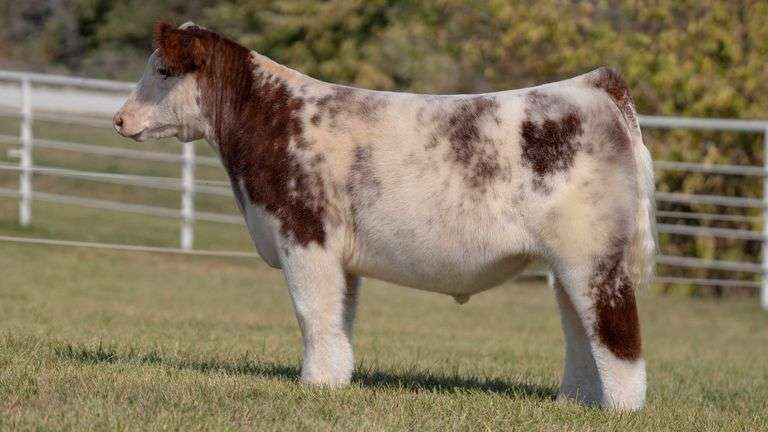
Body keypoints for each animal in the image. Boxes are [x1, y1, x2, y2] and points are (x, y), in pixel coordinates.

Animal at [114, 21, 656, 411]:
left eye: (163, 72)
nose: (119, 119)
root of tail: (592, 83)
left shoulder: (303, 234)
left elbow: (312, 313)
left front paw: (313, 385)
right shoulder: (337, 255)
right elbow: (339, 317)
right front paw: (335, 383)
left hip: (593, 256)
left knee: (617, 331)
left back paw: (620, 411)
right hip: (567, 264)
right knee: (579, 331)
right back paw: (574, 404)